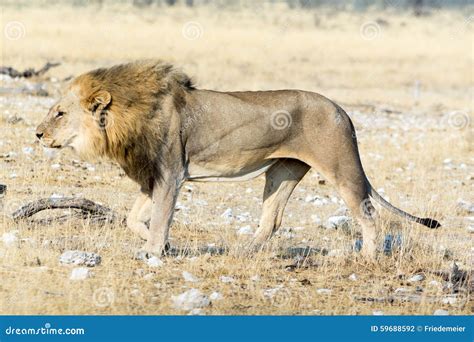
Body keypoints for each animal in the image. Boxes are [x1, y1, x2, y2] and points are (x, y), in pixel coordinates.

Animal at [35, 60, 438, 260]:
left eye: (59, 113)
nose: (37, 134)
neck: (124, 118)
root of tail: (343, 110)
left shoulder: (170, 173)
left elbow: (161, 217)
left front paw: (153, 252)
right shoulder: (153, 177)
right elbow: (135, 218)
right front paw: (162, 246)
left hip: (341, 167)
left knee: (368, 214)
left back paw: (367, 257)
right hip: (283, 171)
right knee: (271, 221)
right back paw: (243, 252)